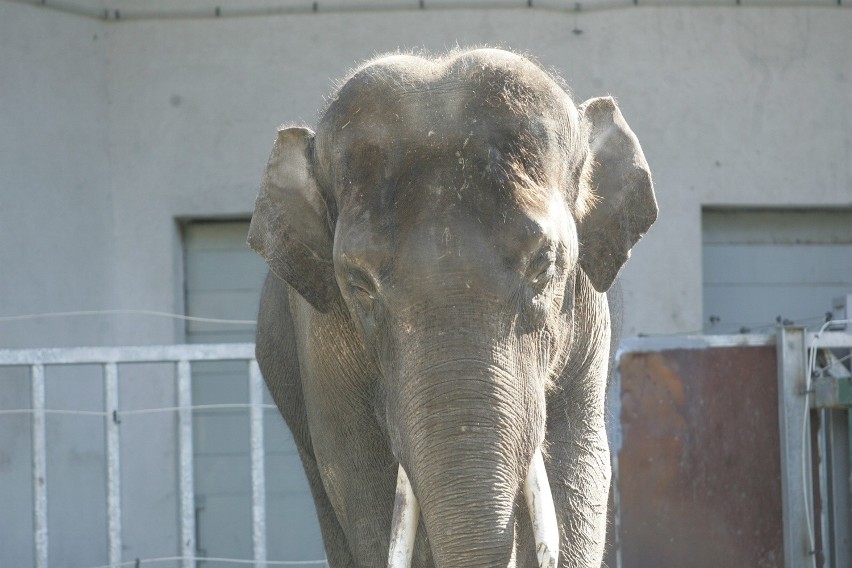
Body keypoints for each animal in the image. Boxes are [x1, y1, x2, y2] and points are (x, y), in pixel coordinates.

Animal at [248, 48, 660, 568]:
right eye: (359, 285)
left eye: (543, 266)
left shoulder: (588, 321)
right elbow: (359, 482)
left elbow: (580, 464)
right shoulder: (321, 343)